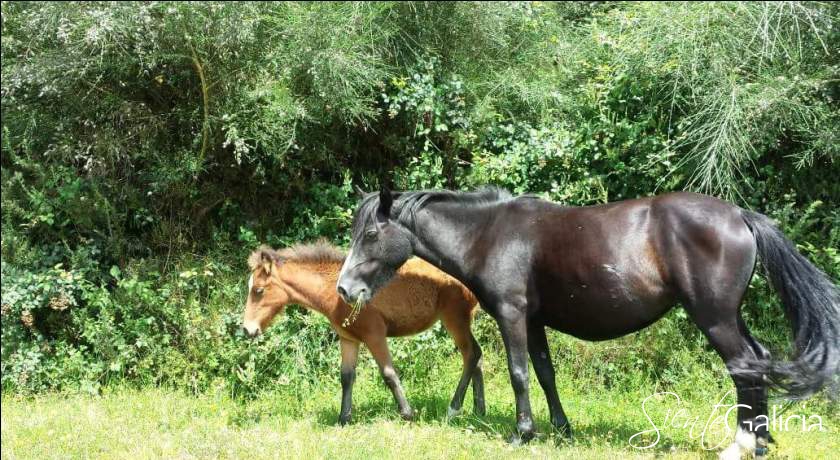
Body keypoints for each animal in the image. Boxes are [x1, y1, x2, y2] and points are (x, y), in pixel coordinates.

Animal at [241, 240, 485, 424]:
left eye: (259, 290)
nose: (247, 329)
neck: (335, 291)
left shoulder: (374, 335)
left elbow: (388, 374)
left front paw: (407, 413)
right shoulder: (349, 339)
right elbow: (347, 377)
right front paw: (343, 419)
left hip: (454, 319)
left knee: (471, 354)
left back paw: (454, 409)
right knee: (477, 357)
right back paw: (479, 410)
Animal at [336, 187, 839, 460]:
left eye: (371, 234)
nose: (344, 289)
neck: (489, 234)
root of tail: (739, 215)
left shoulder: (512, 314)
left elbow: (518, 373)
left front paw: (522, 432)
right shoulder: (534, 320)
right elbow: (544, 372)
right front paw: (561, 428)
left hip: (714, 318)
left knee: (744, 369)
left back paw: (743, 445)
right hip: (729, 316)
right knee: (758, 362)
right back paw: (764, 439)